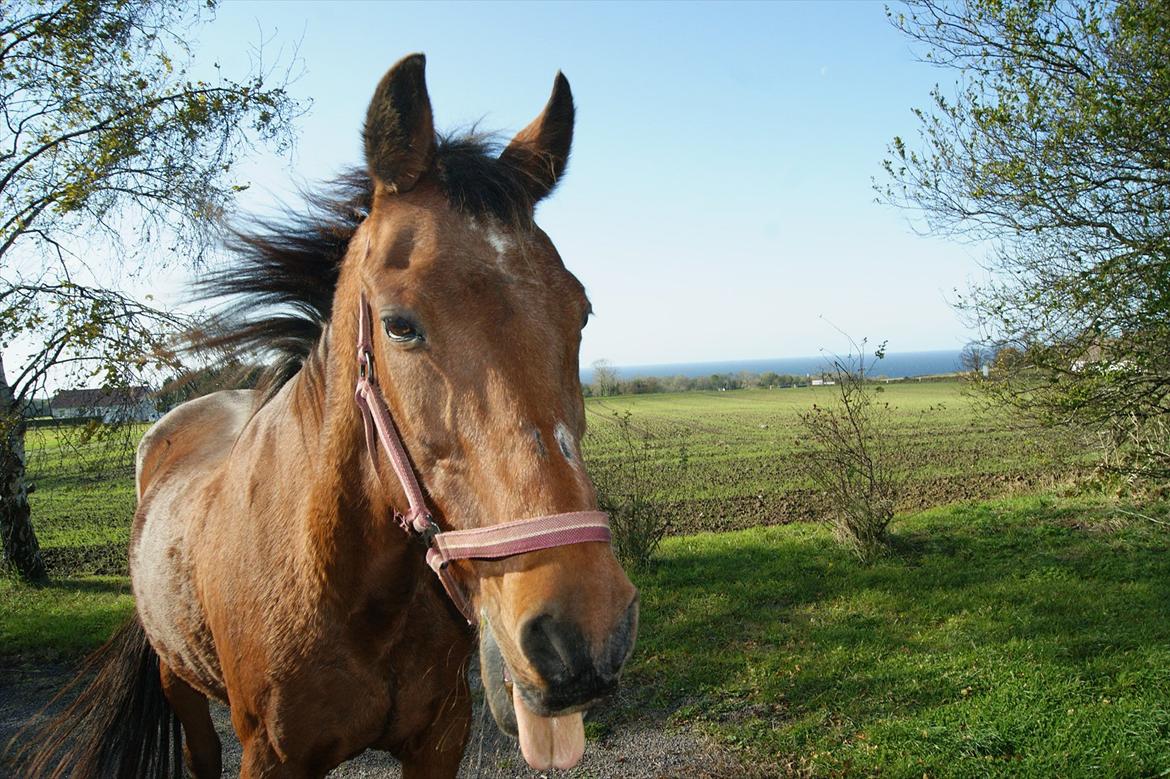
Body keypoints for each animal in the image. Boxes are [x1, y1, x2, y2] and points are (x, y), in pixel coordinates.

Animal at [17, 54, 638, 778]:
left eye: (580, 312)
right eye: (399, 325)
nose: (581, 635)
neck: (355, 591)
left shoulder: (441, 737)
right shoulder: (270, 753)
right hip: (181, 682)